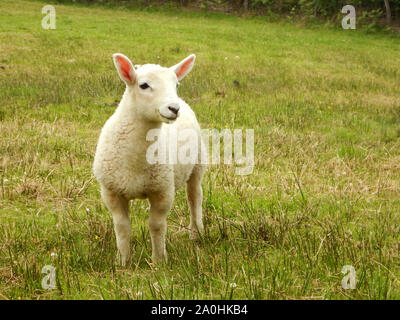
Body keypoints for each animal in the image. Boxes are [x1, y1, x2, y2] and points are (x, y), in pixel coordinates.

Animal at [93, 52, 206, 266]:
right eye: (143, 85)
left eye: (176, 84)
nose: (174, 108)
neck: (135, 160)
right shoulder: (111, 191)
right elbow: (122, 227)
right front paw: (123, 261)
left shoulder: (163, 191)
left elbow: (156, 225)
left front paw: (159, 261)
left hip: (197, 165)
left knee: (194, 199)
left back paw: (197, 234)